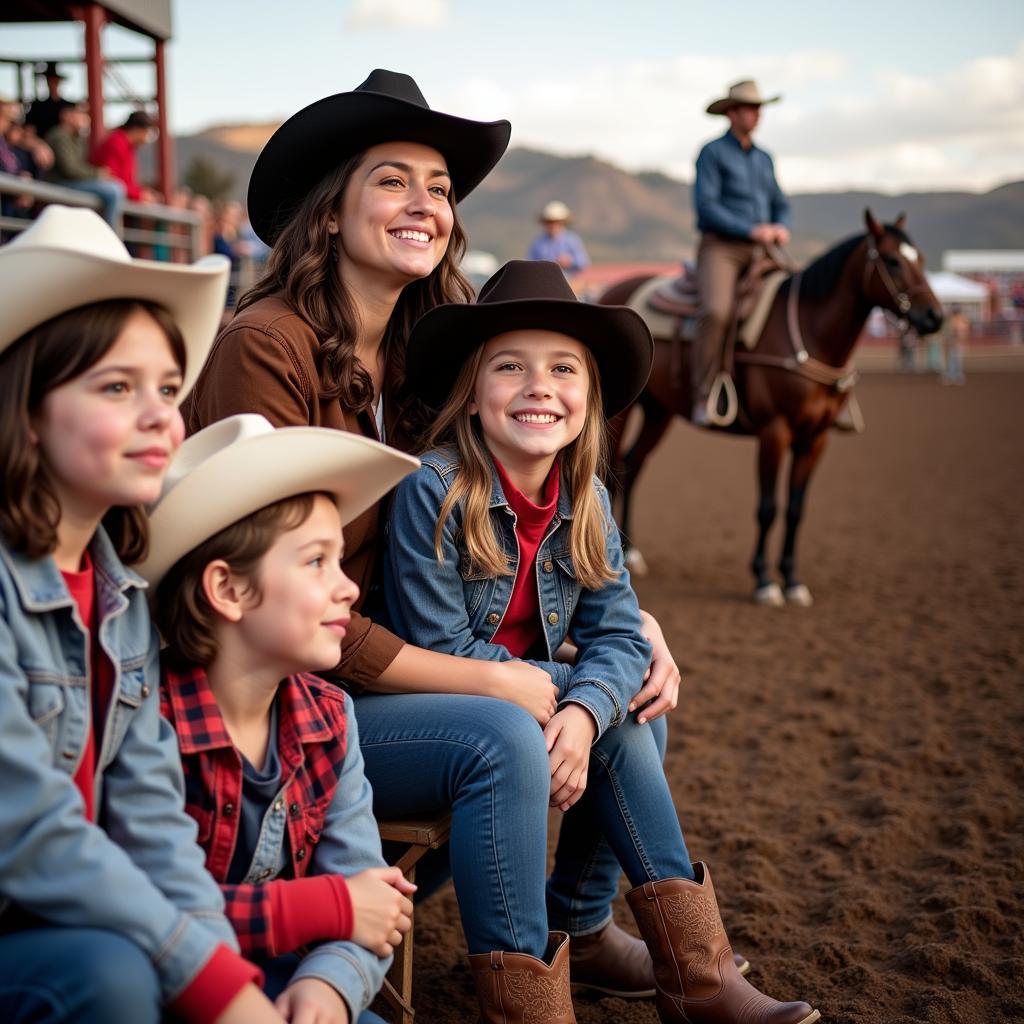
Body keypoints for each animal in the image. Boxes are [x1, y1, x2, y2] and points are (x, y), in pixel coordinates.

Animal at [598, 210, 942, 602]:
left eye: (921, 259)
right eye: (892, 260)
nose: (935, 317)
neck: (809, 332)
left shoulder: (816, 438)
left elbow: (794, 508)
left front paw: (791, 579)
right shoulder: (774, 432)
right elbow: (767, 507)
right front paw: (764, 580)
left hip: (659, 412)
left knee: (633, 465)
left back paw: (632, 552)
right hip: (622, 414)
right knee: (613, 472)